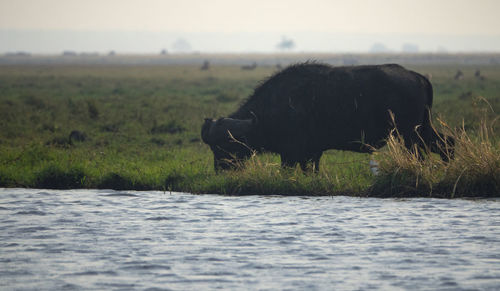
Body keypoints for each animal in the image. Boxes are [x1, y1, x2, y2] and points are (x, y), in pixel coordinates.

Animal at [200, 62, 454, 172]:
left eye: (229, 144)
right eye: (212, 146)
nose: (221, 169)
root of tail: (418, 76)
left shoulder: (293, 153)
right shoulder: (310, 153)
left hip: (409, 134)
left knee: (422, 154)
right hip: (423, 129)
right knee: (447, 143)